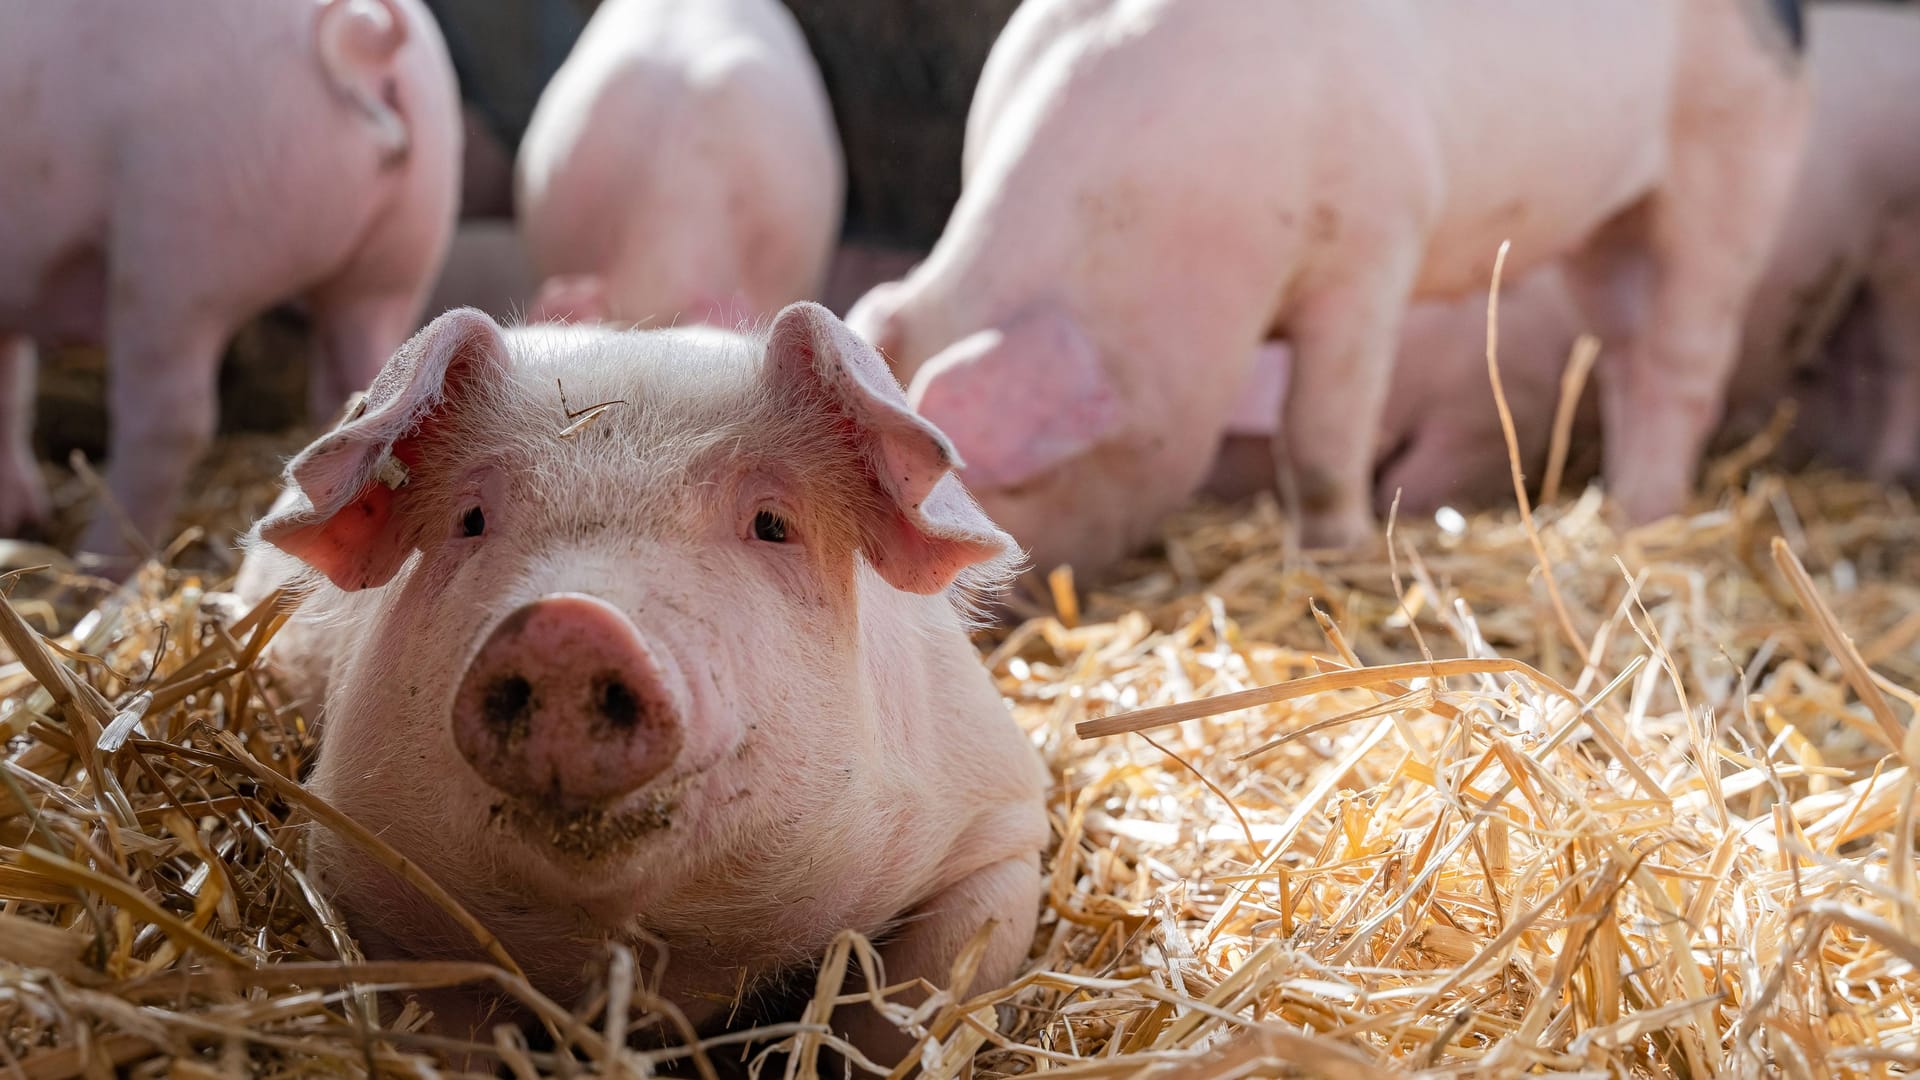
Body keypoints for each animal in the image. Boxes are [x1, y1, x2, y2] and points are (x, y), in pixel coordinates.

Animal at [0, 0, 462, 568]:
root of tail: (363, 35)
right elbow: (10, 383)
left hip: (181, 239)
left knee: (170, 421)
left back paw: (98, 560)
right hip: (400, 253)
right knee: (369, 379)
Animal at [238, 297, 1052, 1053]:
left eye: (772, 524)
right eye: (470, 519)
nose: (569, 624)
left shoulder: (999, 829)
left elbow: (909, 1008)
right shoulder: (364, 877)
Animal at [848, 0, 1804, 576]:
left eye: (1001, 486)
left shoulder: (1373, 246)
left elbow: (1317, 435)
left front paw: (1334, 559)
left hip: (1735, 145)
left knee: (1684, 356)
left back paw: (1643, 524)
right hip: (1604, 223)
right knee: (1624, 349)